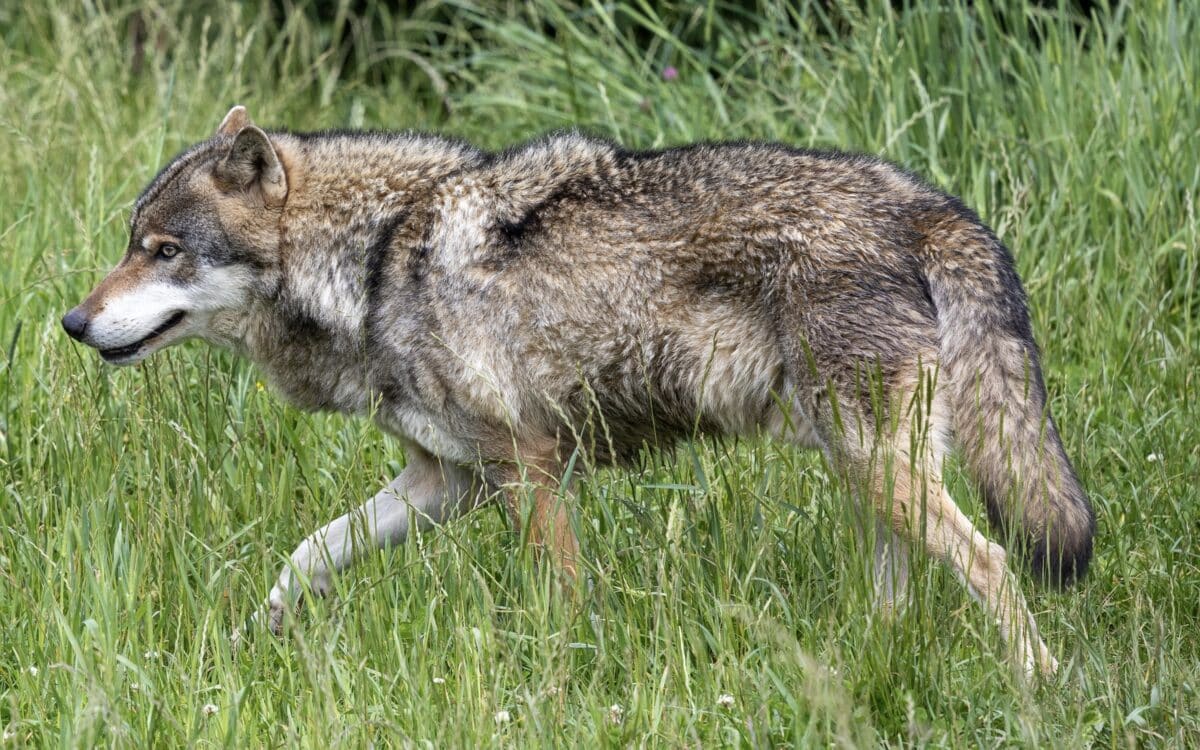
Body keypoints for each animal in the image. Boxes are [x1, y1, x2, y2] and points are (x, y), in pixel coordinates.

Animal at [63, 105, 1093, 677]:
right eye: (130, 244)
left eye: (163, 251)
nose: (72, 323)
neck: (378, 260)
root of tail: (925, 204)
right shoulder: (444, 482)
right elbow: (305, 554)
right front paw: (256, 635)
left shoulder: (529, 469)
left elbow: (561, 602)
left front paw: (563, 683)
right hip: (867, 472)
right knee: (905, 591)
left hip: (881, 467)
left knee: (992, 563)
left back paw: (1043, 689)